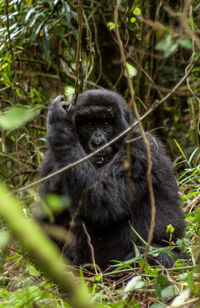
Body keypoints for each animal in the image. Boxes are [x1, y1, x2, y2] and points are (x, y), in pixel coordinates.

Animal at [39, 89, 186, 270]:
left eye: (105, 123)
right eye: (89, 124)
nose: (97, 143)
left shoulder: (141, 150)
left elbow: (104, 201)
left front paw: (59, 120)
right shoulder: (51, 160)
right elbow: (44, 222)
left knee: (156, 254)